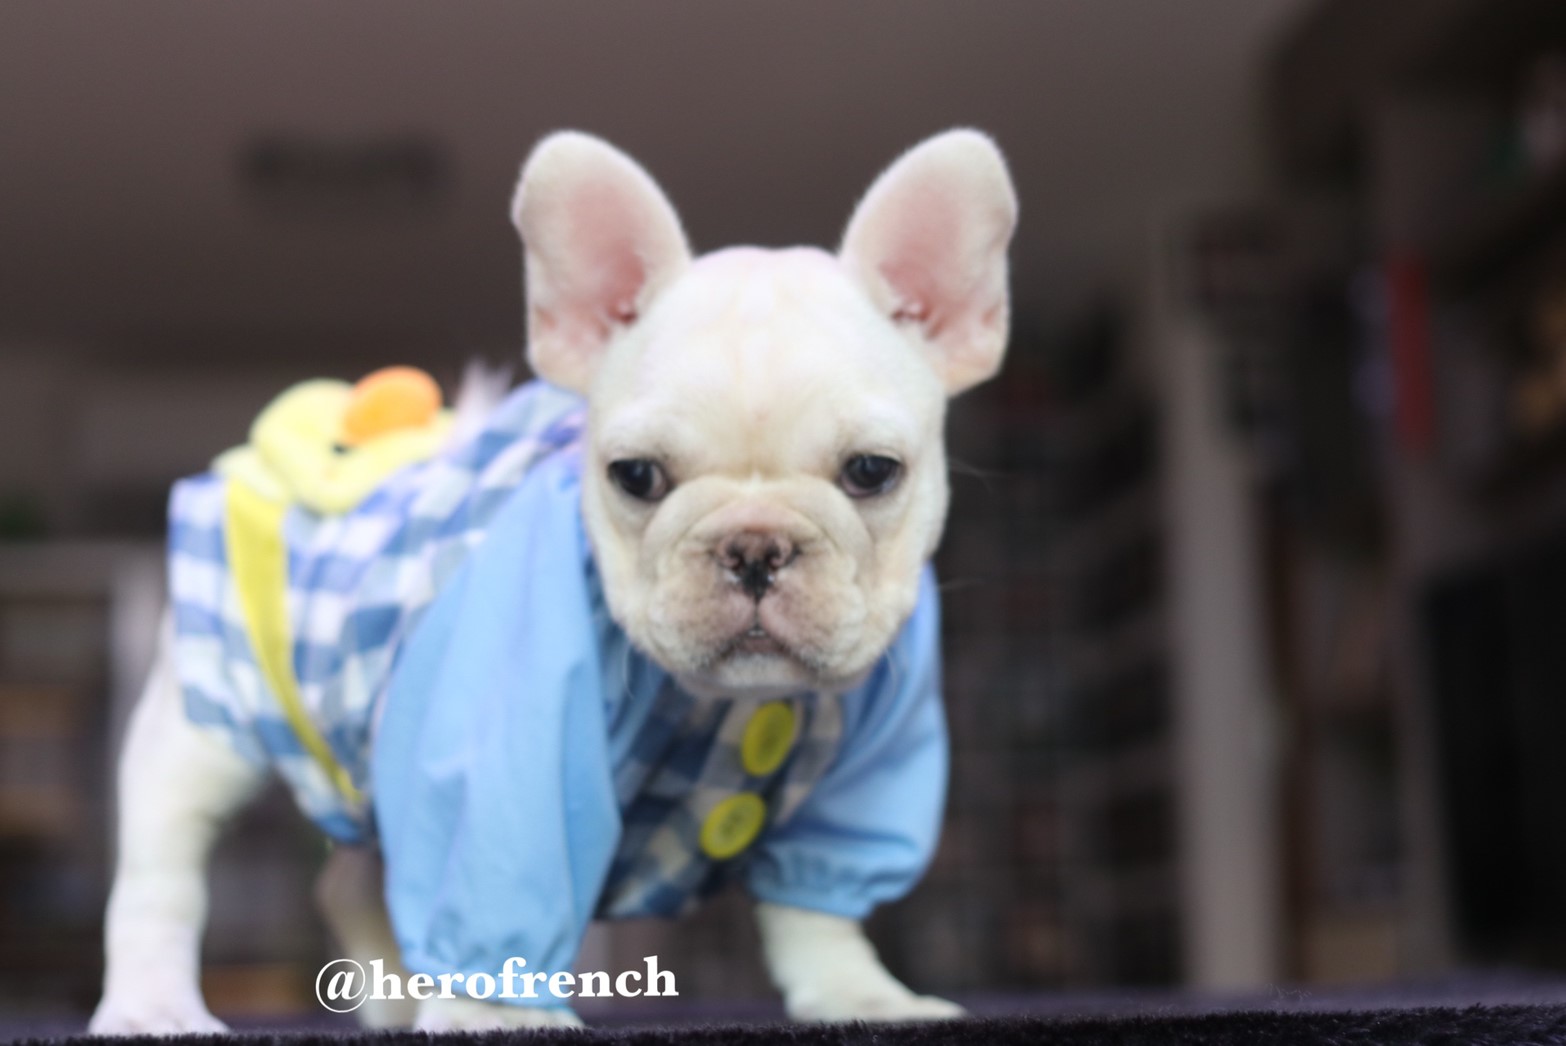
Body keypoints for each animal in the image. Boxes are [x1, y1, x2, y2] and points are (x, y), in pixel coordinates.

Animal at [89, 129, 1017, 1032]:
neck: (715, 709)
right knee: (160, 878)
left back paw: (391, 999)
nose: (753, 547)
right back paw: (154, 1006)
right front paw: (493, 1013)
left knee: (354, 882)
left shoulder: (867, 772)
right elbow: (496, 874)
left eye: (872, 471)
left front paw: (859, 994)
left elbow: (816, 911)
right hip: (203, 727)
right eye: (636, 476)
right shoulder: (505, 753)